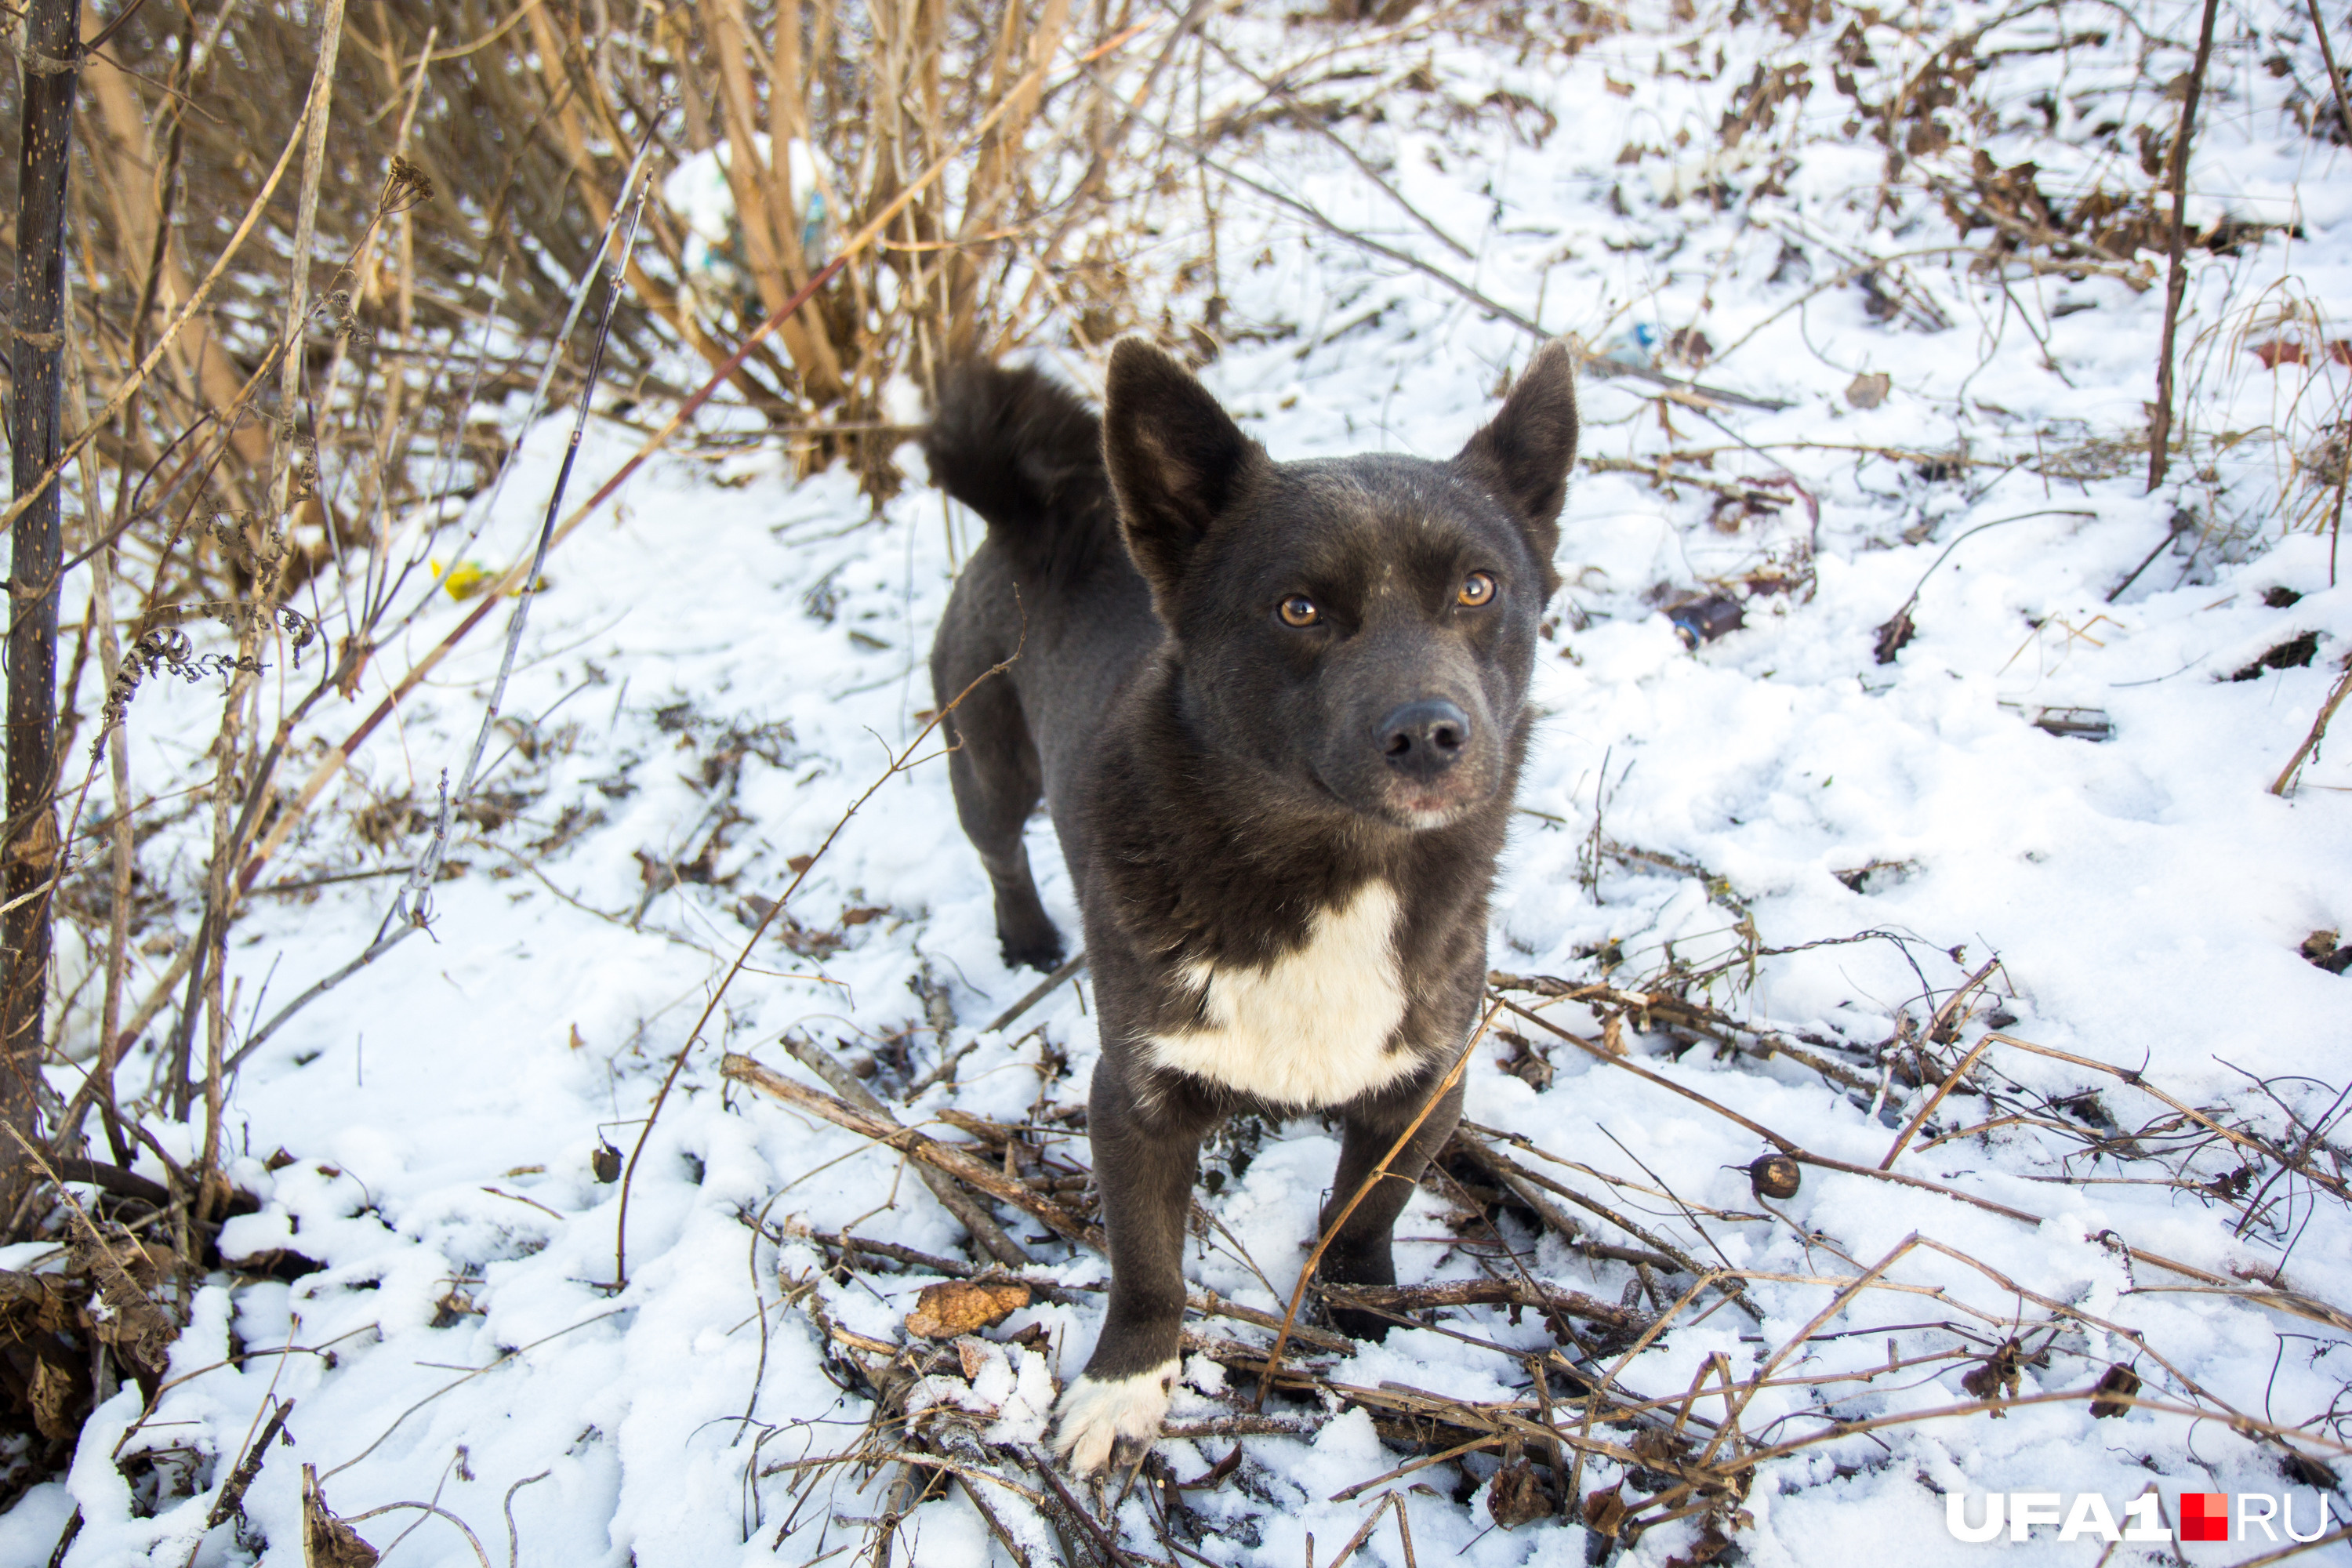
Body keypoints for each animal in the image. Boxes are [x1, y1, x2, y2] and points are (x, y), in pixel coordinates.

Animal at [922, 338, 1581, 1476]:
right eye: (1298, 609)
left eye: (1477, 588)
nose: (1429, 734)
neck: (1330, 864)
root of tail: (1036, 507)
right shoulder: (1132, 1101)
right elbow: (1147, 1263)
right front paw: (1124, 1386)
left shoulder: (1424, 1087)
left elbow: (1366, 1211)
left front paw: (1360, 1312)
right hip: (986, 760)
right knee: (1000, 850)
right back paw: (1029, 940)